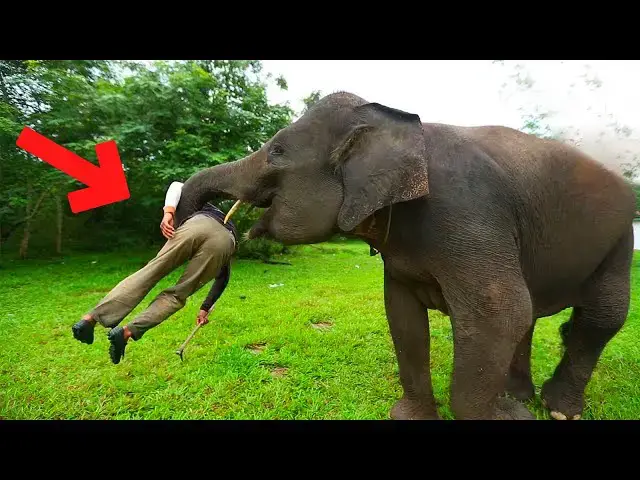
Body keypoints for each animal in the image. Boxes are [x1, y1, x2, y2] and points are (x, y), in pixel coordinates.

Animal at [174, 91, 636, 420]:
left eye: (276, 152)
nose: (218, 222)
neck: (396, 125)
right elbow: (402, 313)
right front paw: (416, 416)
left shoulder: (468, 211)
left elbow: (499, 311)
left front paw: (508, 416)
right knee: (534, 315)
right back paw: (517, 395)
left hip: (620, 240)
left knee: (600, 315)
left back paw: (555, 410)